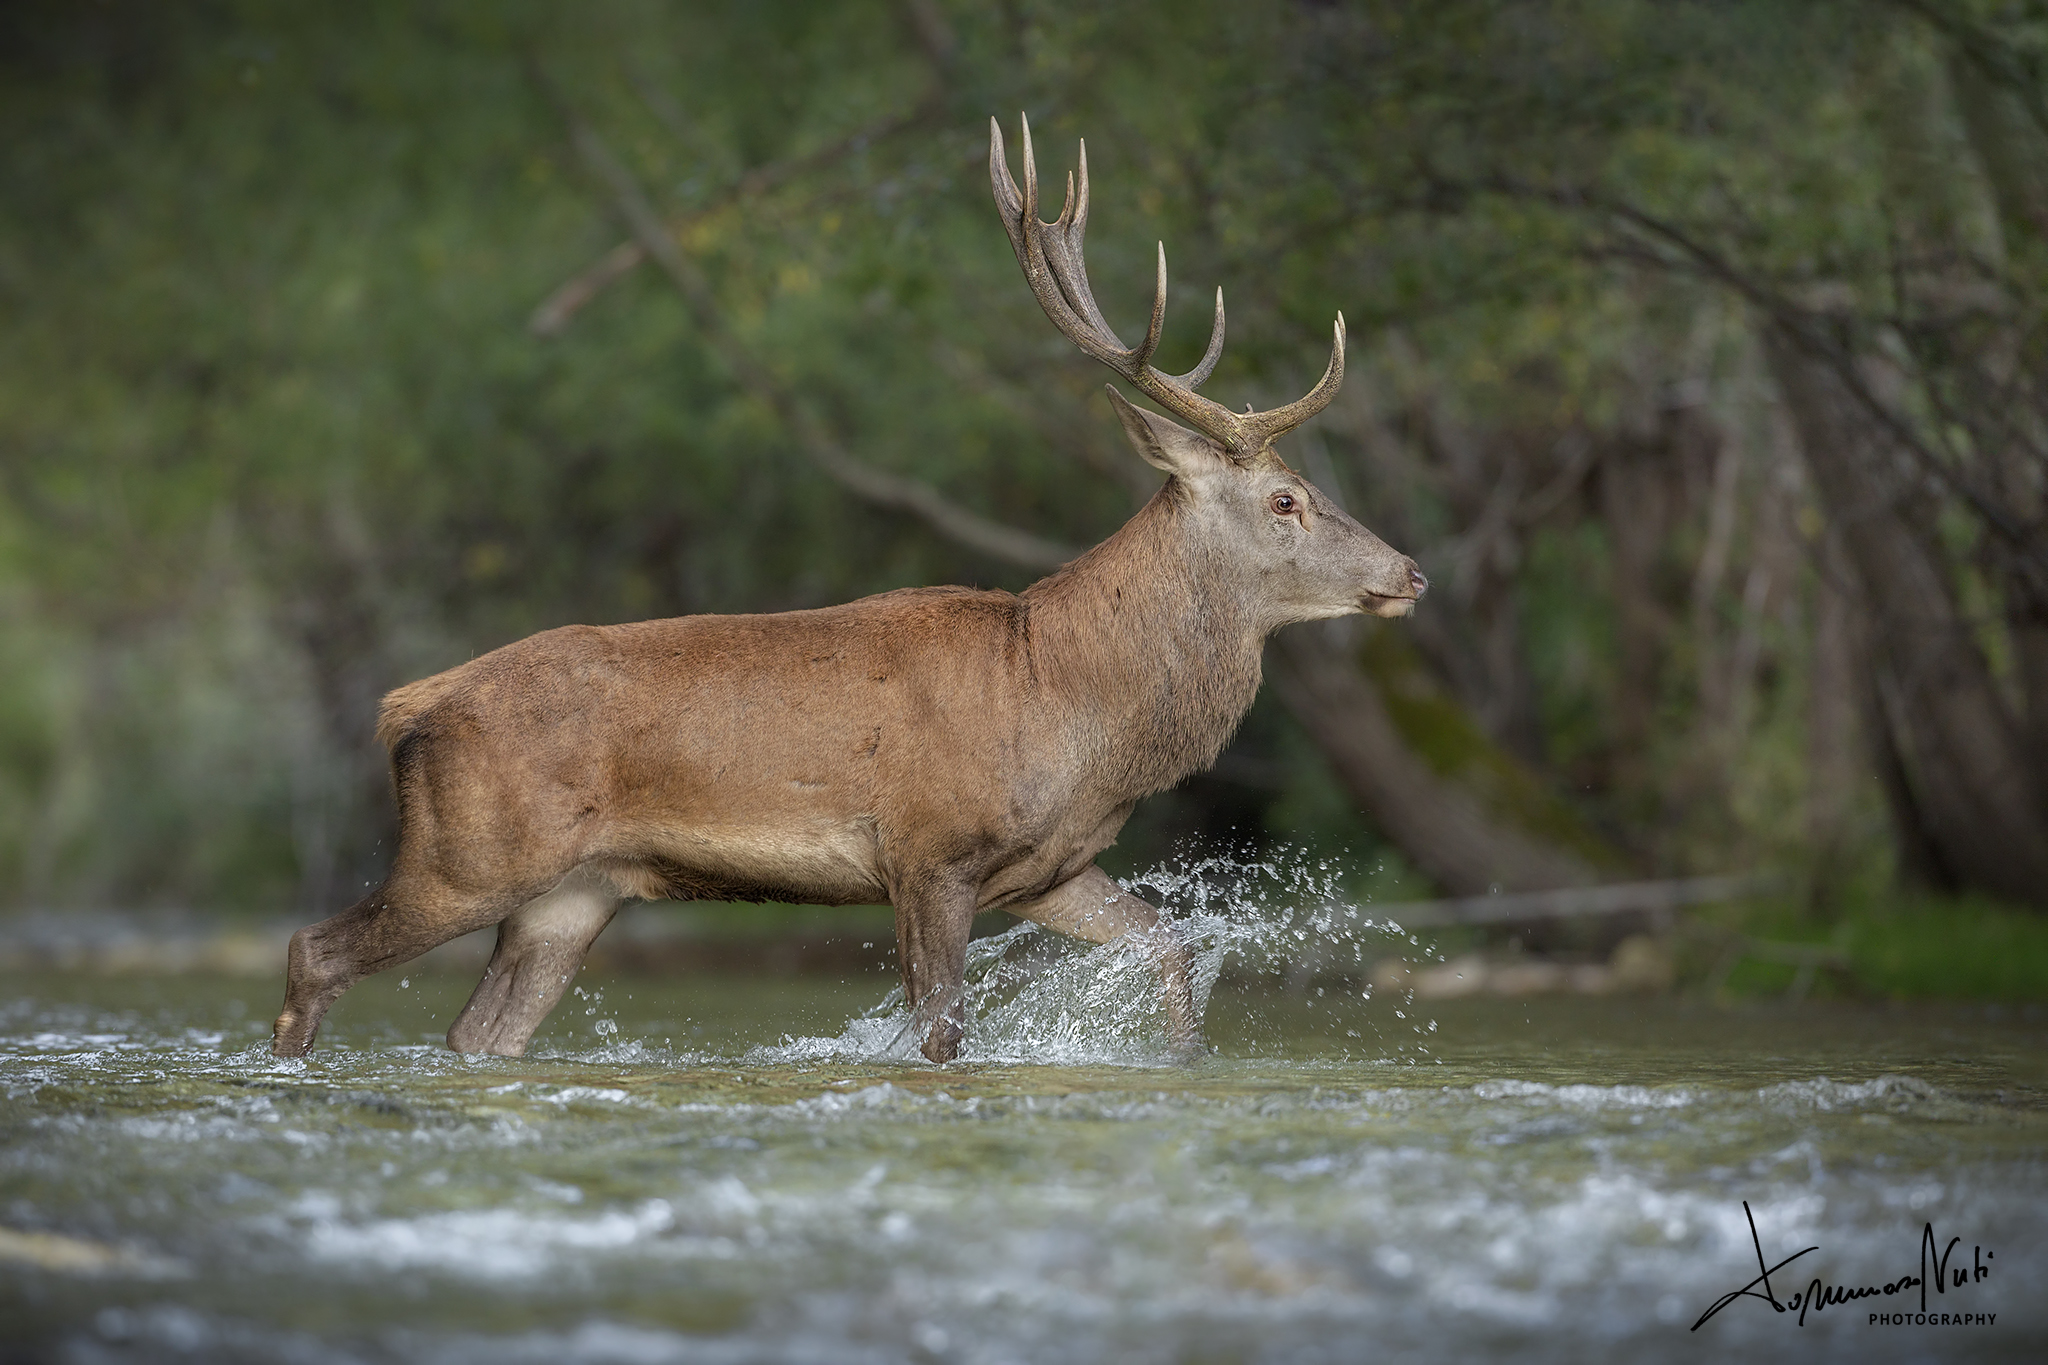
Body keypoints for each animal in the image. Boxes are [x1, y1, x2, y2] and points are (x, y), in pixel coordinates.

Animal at [270, 114, 1425, 1065]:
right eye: (1286, 498)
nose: (1410, 572)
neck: (1072, 701)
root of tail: (404, 706)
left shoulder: (1045, 866)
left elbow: (1168, 944)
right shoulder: (927, 851)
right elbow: (940, 1037)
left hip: (569, 896)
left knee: (477, 1032)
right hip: (470, 854)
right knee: (312, 951)